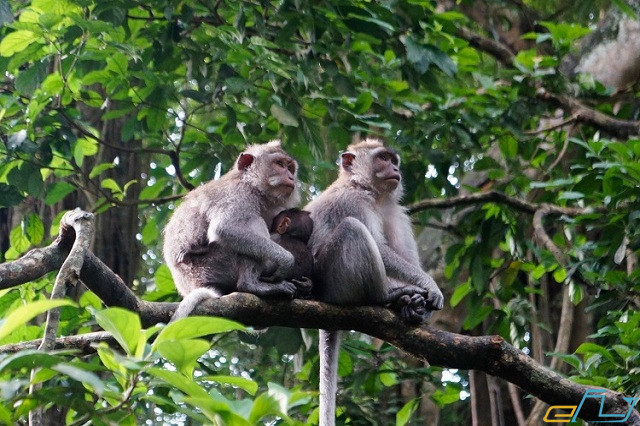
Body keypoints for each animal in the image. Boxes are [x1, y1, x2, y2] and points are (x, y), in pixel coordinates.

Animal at [164, 141, 306, 322]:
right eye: (279, 164)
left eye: (290, 167)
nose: (290, 177)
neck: (251, 185)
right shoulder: (237, 194)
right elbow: (225, 229)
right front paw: (286, 259)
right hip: (211, 267)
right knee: (254, 222)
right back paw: (251, 285)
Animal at [304, 138, 444, 424]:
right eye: (382, 158)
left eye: (393, 160)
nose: (395, 169)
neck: (370, 192)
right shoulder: (352, 201)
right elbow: (379, 247)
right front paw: (427, 286)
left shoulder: (394, 211)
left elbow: (403, 254)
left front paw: (418, 303)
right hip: (332, 280)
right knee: (352, 229)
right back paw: (386, 297)